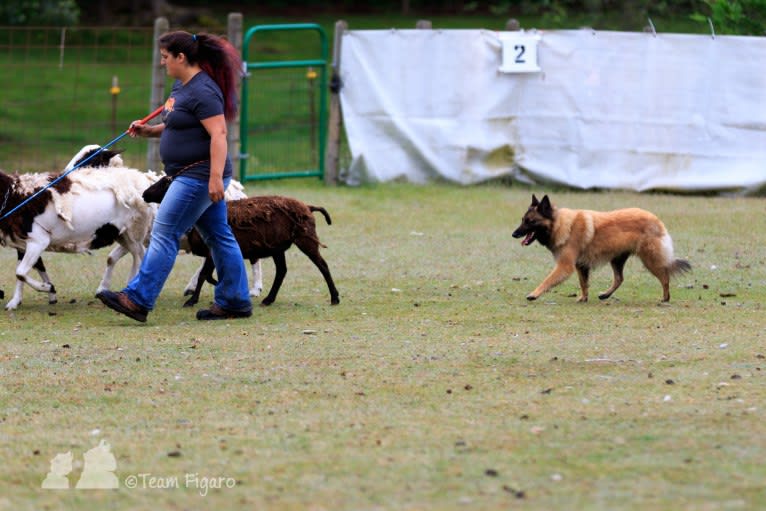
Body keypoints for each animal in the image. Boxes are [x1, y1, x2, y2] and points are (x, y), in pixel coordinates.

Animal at [0, 145, 160, 312]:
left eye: (90, 160)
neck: (14, 196)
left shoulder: (39, 240)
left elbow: (20, 272)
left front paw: (48, 287)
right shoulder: (23, 243)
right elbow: (27, 270)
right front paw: (17, 301)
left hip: (135, 230)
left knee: (140, 256)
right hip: (123, 234)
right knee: (135, 255)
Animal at [141, 180, 340, 308]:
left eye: (165, 183)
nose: (144, 194)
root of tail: (308, 207)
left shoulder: (211, 252)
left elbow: (204, 275)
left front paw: (192, 301)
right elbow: (210, 275)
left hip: (305, 239)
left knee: (322, 265)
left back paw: (335, 297)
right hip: (278, 247)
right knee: (282, 271)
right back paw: (268, 299)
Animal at [512, 194, 692, 302]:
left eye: (530, 221)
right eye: (522, 220)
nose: (514, 234)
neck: (560, 224)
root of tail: (657, 220)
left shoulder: (565, 266)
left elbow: (547, 280)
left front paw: (534, 294)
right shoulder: (581, 265)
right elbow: (583, 283)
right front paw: (583, 298)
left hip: (649, 259)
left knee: (665, 277)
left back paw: (665, 298)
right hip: (617, 259)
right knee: (619, 279)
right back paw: (605, 294)